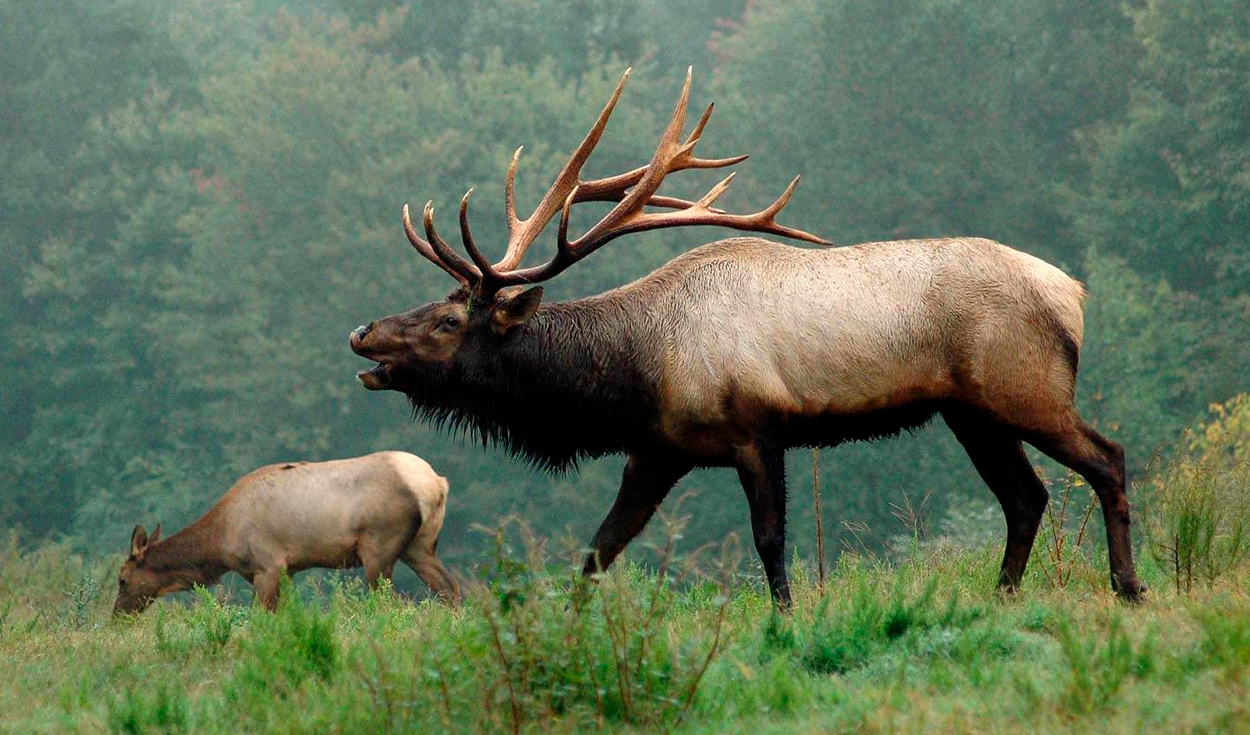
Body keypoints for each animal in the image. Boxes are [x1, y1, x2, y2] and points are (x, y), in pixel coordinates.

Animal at [114, 452, 460, 613]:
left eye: (122, 579)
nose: (117, 615)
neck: (222, 541)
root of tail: (437, 483)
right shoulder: (287, 571)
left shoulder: (267, 565)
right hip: (421, 546)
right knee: (450, 589)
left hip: (379, 546)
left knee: (390, 601)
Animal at [349, 68, 1144, 609]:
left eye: (451, 321)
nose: (362, 332)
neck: (637, 371)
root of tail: (1072, 294)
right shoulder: (657, 450)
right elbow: (599, 549)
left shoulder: (758, 429)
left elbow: (769, 540)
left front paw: (786, 619)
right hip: (971, 412)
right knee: (1027, 497)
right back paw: (1003, 594)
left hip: (1025, 389)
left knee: (1106, 458)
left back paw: (1128, 586)